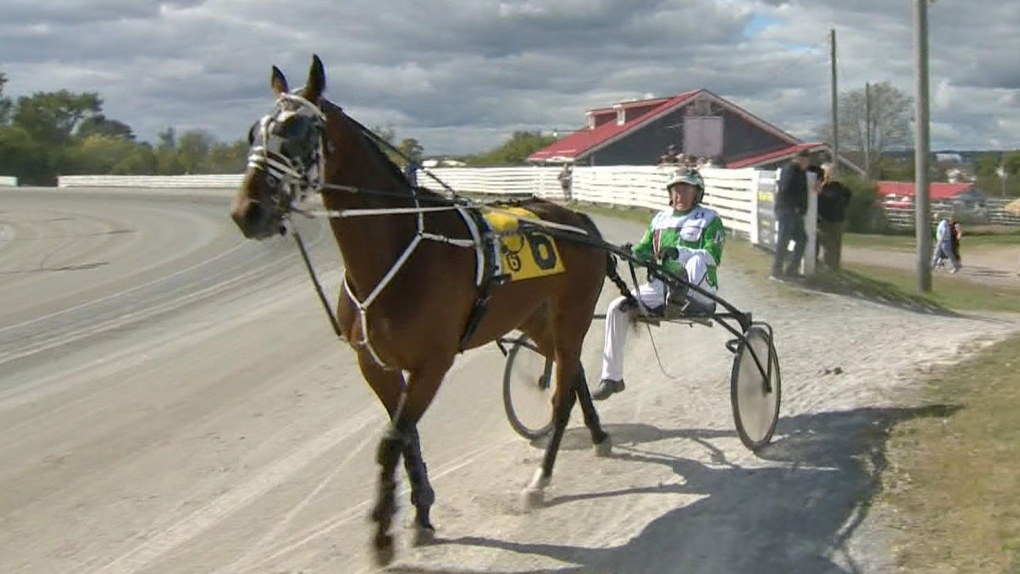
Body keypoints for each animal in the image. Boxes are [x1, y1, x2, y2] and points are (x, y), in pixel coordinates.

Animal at [231, 55, 628, 570]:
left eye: (296, 130)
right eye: (253, 132)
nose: (248, 211)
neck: (400, 249)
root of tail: (581, 222)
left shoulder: (432, 364)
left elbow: (390, 442)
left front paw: (383, 535)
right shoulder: (377, 366)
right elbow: (406, 439)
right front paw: (420, 513)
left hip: (572, 314)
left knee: (562, 396)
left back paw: (539, 481)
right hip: (537, 320)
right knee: (574, 372)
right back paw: (598, 436)